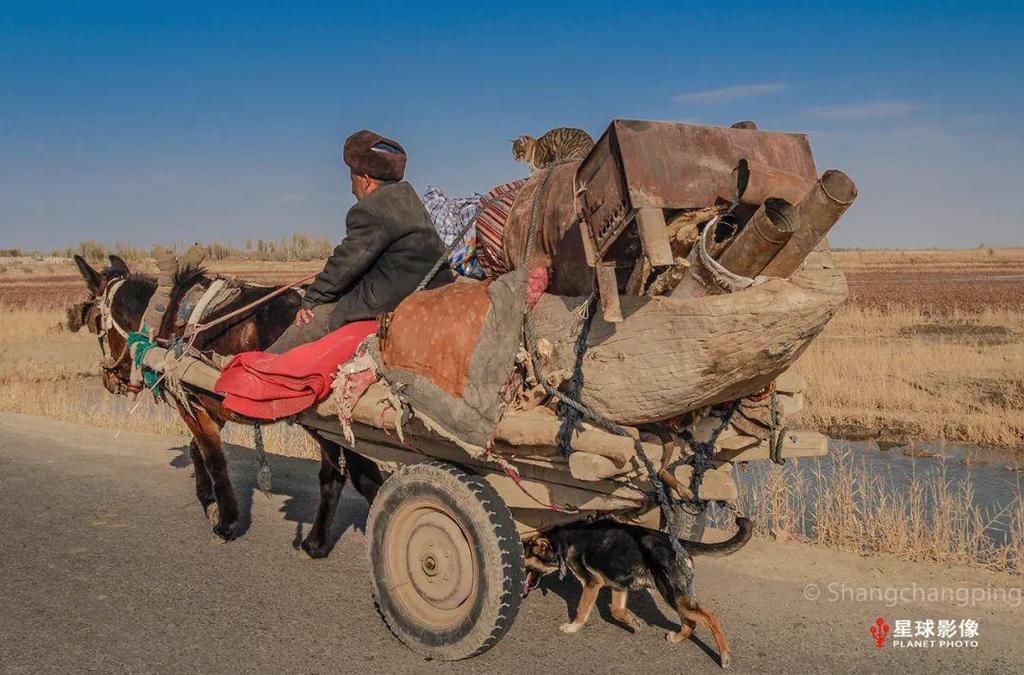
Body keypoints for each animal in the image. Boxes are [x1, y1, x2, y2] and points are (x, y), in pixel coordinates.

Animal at [70, 256, 385, 557]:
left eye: (95, 322)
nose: (108, 380)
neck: (162, 319)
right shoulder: (209, 403)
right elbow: (195, 449)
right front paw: (206, 497)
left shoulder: (190, 401)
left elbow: (213, 457)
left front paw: (227, 521)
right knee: (348, 474)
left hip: (320, 417)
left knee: (350, 474)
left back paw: (326, 541)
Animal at [524, 520, 749, 667]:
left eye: (524, 556)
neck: (562, 542)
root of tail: (678, 543)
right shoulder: (618, 585)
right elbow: (616, 611)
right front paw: (633, 623)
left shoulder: (592, 583)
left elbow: (581, 609)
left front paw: (572, 627)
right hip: (675, 595)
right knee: (691, 623)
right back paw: (677, 638)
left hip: (673, 595)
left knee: (710, 617)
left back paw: (724, 656)